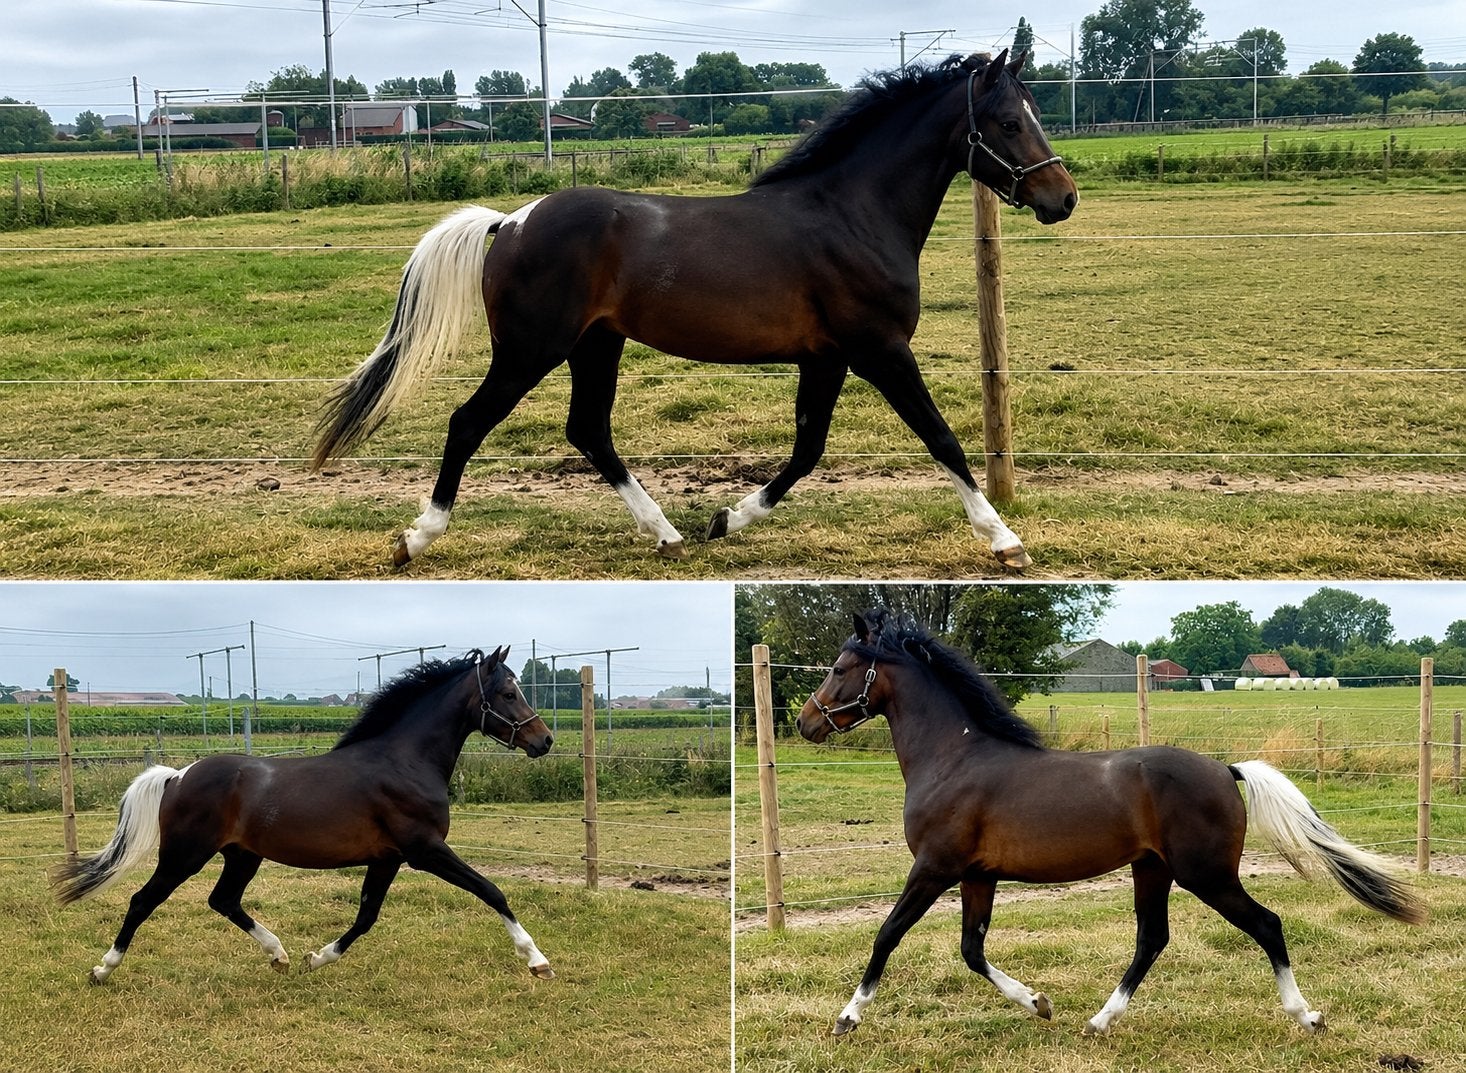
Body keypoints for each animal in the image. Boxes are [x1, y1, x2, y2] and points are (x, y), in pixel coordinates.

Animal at [51, 646, 557, 985]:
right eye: (507, 692)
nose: (545, 740)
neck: (404, 762)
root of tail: (178, 775)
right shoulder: (426, 850)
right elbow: (492, 891)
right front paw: (537, 960)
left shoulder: (388, 859)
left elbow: (367, 915)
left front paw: (318, 958)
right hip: (184, 856)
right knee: (143, 901)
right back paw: (103, 969)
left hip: (242, 856)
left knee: (223, 900)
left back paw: (280, 955)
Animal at [310, 51, 1077, 570]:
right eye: (1009, 122)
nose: (1062, 198)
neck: (851, 215)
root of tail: (512, 222)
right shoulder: (881, 350)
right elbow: (942, 440)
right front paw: (1006, 542)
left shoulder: (828, 358)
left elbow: (806, 451)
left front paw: (725, 519)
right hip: (532, 350)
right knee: (468, 422)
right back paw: (415, 538)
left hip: (596, 346)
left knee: (588, 430)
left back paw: (668, 533)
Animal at [797, 610, 1425, 1037]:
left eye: (840, 668)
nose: (807, 722)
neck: (954, 757)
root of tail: (1225, 769)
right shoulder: (978, 875)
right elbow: (972, 950)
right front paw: (1038, 1003)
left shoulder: (934, 868)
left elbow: (887, 934)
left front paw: (848, 1016)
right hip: (1153, 871)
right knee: (1153, 939)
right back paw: (1099, 1020)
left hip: (1206, 875)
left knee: (1266, 925)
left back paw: (1306, 1015)